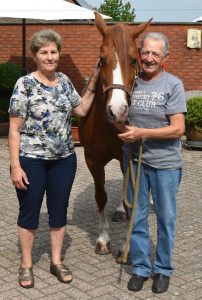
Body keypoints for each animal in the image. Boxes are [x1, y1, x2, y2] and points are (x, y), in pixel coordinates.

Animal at [79, 12, 152, 255]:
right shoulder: (92, 160)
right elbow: (101, 196)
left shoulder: (130, 156)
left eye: (134, 60)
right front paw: (103, 239)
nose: (117, 110)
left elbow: (132, 195)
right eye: (102, 60)